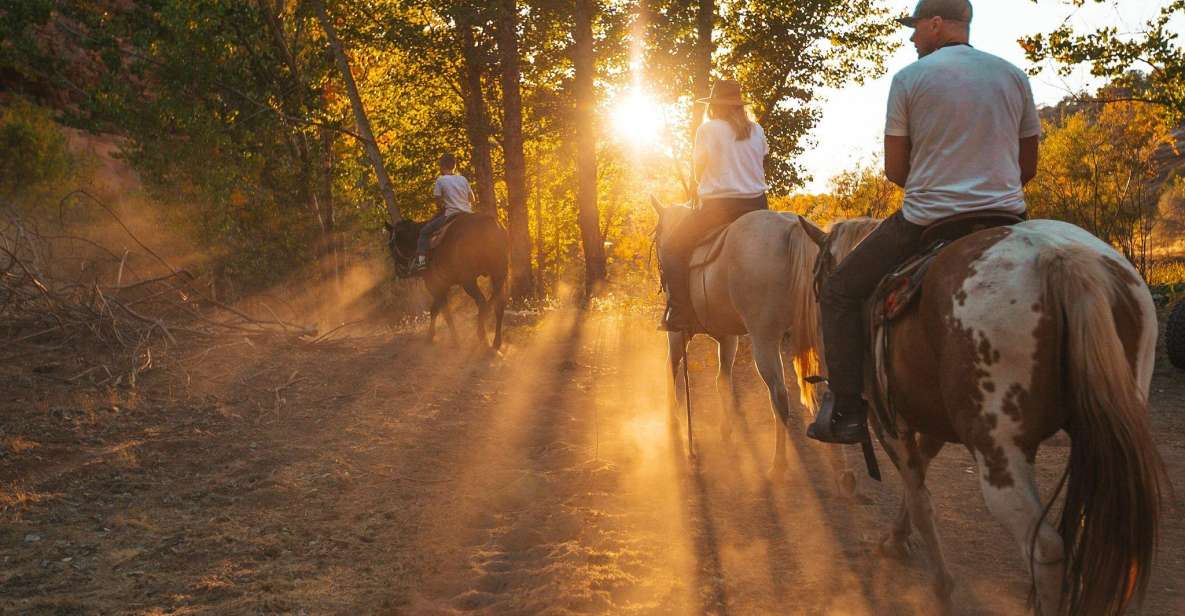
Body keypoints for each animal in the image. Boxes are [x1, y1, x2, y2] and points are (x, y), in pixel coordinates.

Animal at [383, 215, 504, 350]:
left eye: (390, 244)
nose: (398, 271)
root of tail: (489, 224)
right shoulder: (443, 286)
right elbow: (437, 310)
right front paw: (433, 336)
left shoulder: (434, 285)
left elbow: (442, 312)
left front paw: (453, 340)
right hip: (499, 274)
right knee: (499, 304)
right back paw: (496, 341)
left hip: (469, 282)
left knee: (483, 303)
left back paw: (482, 335)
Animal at [654, 197, 857, 490]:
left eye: (658, 234)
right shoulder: (728, 338)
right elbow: (722, 381)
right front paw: (725, 429)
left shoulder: (678, 333)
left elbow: (671, 368)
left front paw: (674, 422)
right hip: (820, 335)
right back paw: (842, 471)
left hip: (764, 339)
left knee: (779, 397)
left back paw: (778, 466)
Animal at [796, 216, 1166, 616]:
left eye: (819, 278)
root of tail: (1060, 258)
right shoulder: (932, 423)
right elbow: (919, 481)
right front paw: (896, 540)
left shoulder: (888, 422)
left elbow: (920, 496)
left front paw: (942, 587)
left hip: (999, 455)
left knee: (1046, 550)